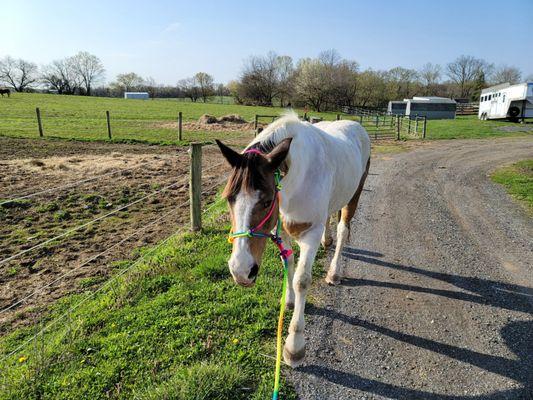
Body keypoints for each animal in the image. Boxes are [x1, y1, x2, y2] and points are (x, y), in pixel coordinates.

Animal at [216, 111, 370, 366]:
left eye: (267, 201)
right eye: (229, 198)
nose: (241, 271)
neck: (297, 180)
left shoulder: (310, 235)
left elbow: (301, 280)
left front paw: (294, 345)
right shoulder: (281, 232)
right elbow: (287, 263)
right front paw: (288, 301)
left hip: (354, 196)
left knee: (342, 229)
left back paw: (334, 272)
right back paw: (327, 242)